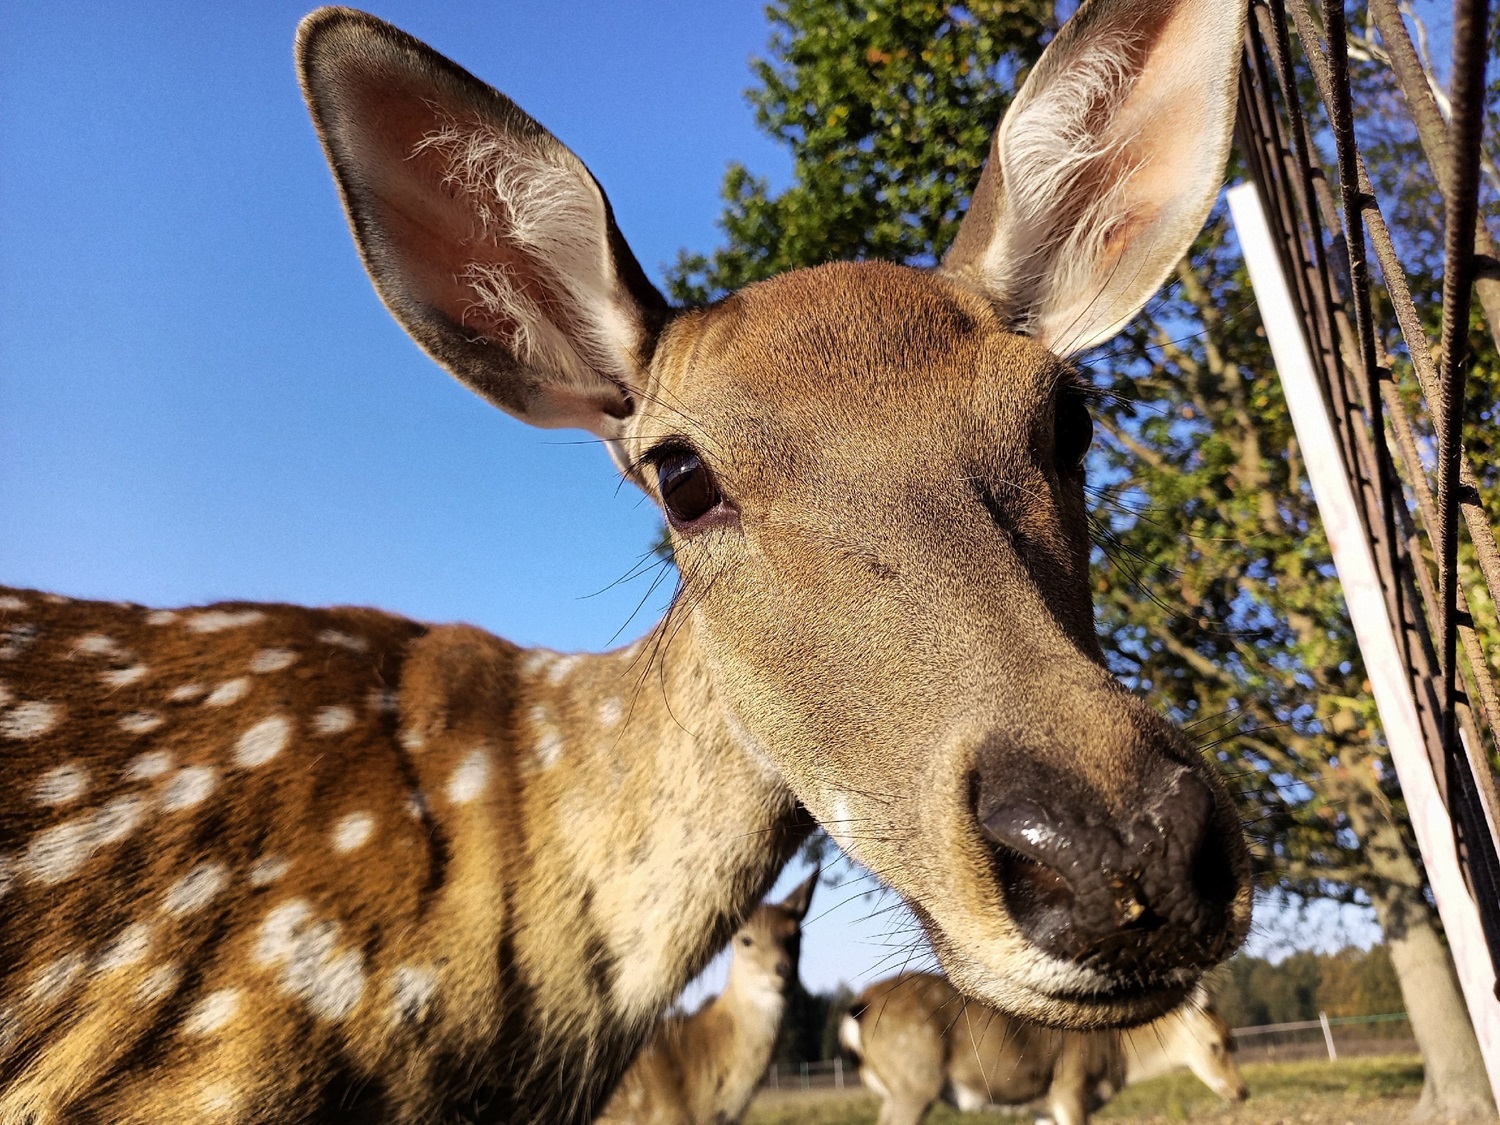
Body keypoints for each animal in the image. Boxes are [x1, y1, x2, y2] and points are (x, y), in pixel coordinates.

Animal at [840, 972, 1248, 1125]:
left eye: (1234, 1039)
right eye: (1217, 1044)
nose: (1241, 1091)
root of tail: (859, 1008)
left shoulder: (1044, 1106)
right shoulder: (1069, 1087)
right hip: (916, 1083)